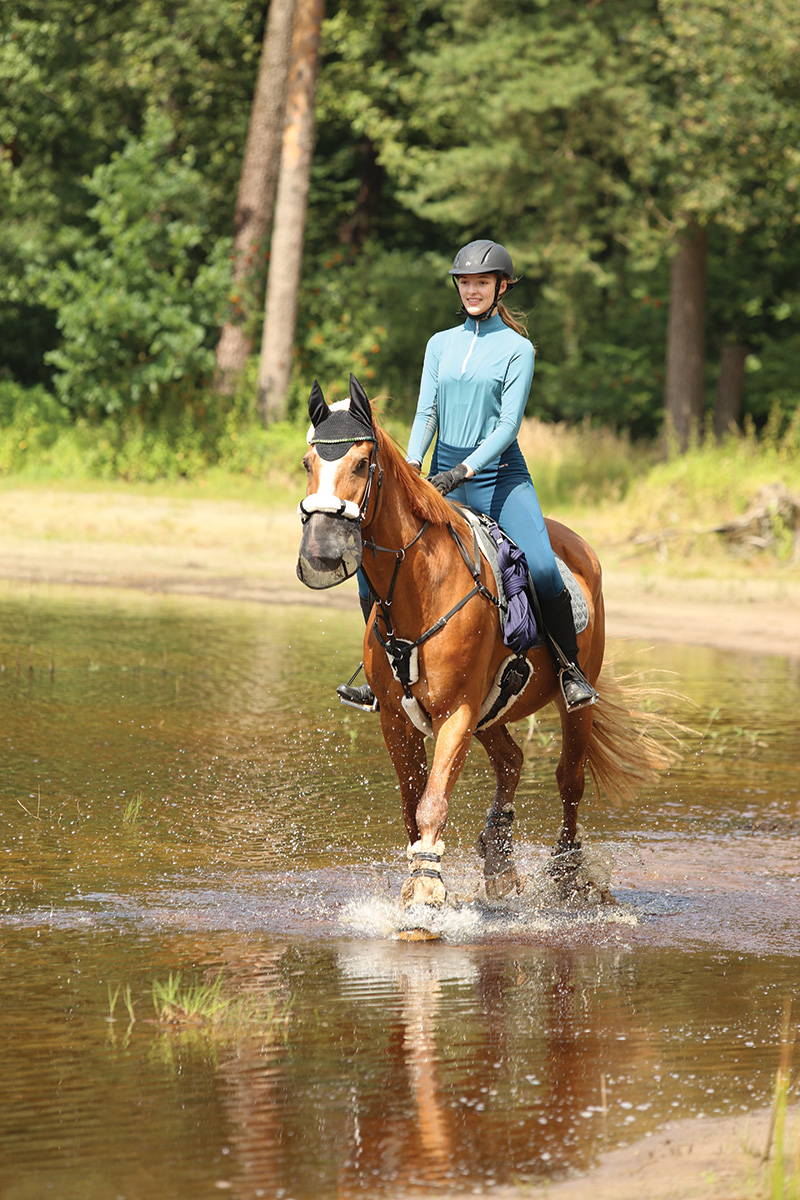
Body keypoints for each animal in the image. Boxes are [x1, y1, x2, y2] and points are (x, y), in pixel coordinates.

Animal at [297, 375, 669, 913]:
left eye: (362, 463)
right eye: (308, 463)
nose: (320, 555)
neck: (421, 589)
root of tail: (579, 546)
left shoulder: (456, 712)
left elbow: (432, 803)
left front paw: (428, 887)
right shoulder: (398, 721)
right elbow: (411, 804)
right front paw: (418, 878)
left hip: (571, 704)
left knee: (569, 780)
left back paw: (566, 875)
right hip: (491, 711)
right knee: (512, 762)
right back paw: (498, 858)